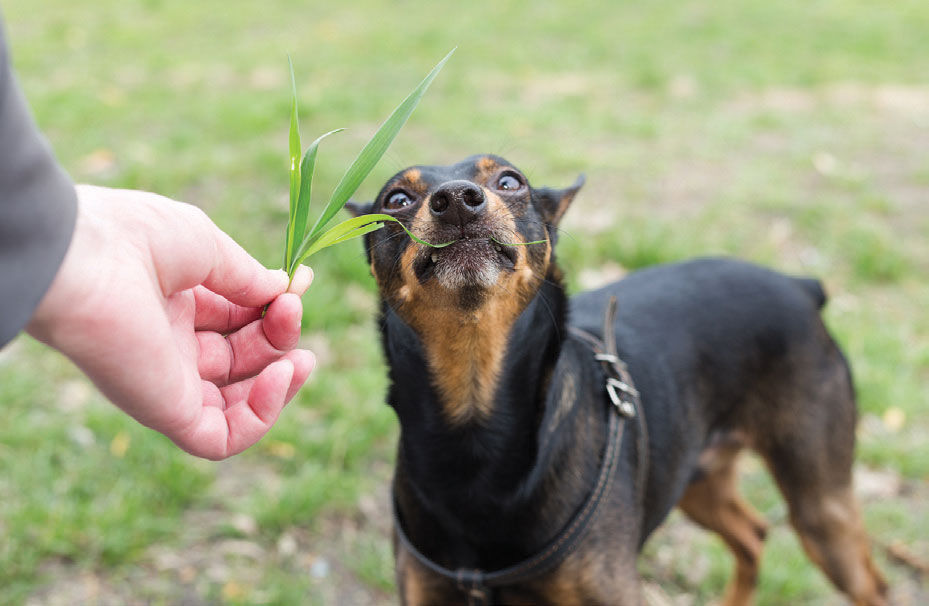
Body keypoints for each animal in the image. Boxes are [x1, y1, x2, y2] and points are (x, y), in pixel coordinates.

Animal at [344, 157, 888, 606]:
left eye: (509, 181)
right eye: (396, 199)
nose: (457, 198)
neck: (474, 425)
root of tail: (801, 287)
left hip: (821, 507)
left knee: (869, 583)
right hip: (697, 477)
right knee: (753, 535)